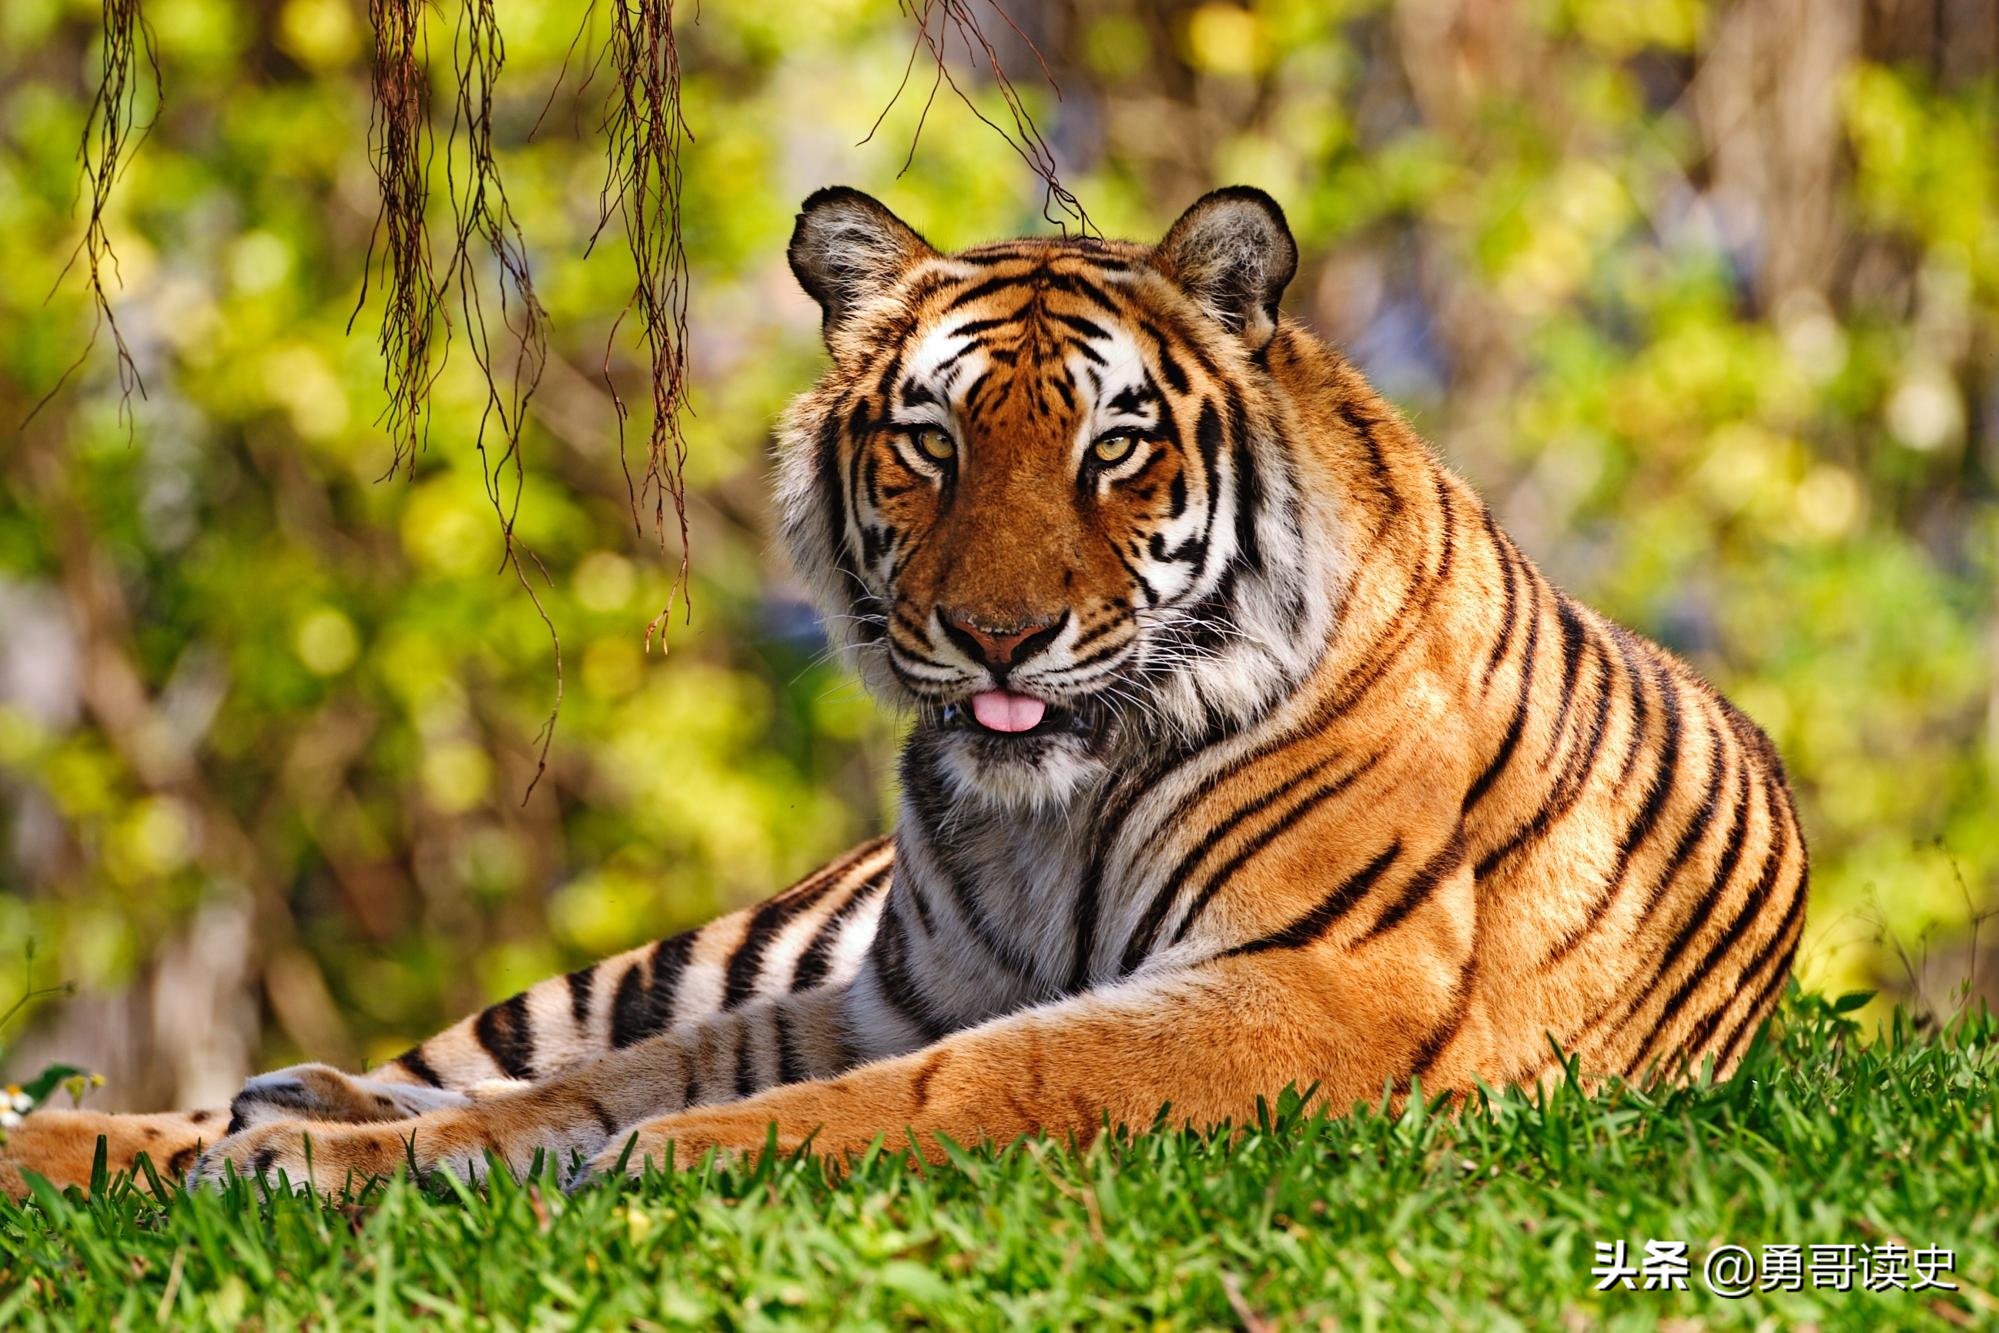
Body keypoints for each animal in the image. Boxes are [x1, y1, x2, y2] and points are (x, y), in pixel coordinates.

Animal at [3, 187, 1815, 1199]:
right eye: (928, 440)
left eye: (1113, 445)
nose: (994, 634)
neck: (1049, 808)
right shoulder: (896, 987)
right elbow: (599, 1083)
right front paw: (317, 1159)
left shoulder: (1314, 985)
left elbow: (971, 1081)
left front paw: (667, 1162)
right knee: (464, 1056)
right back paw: (182, 1124)